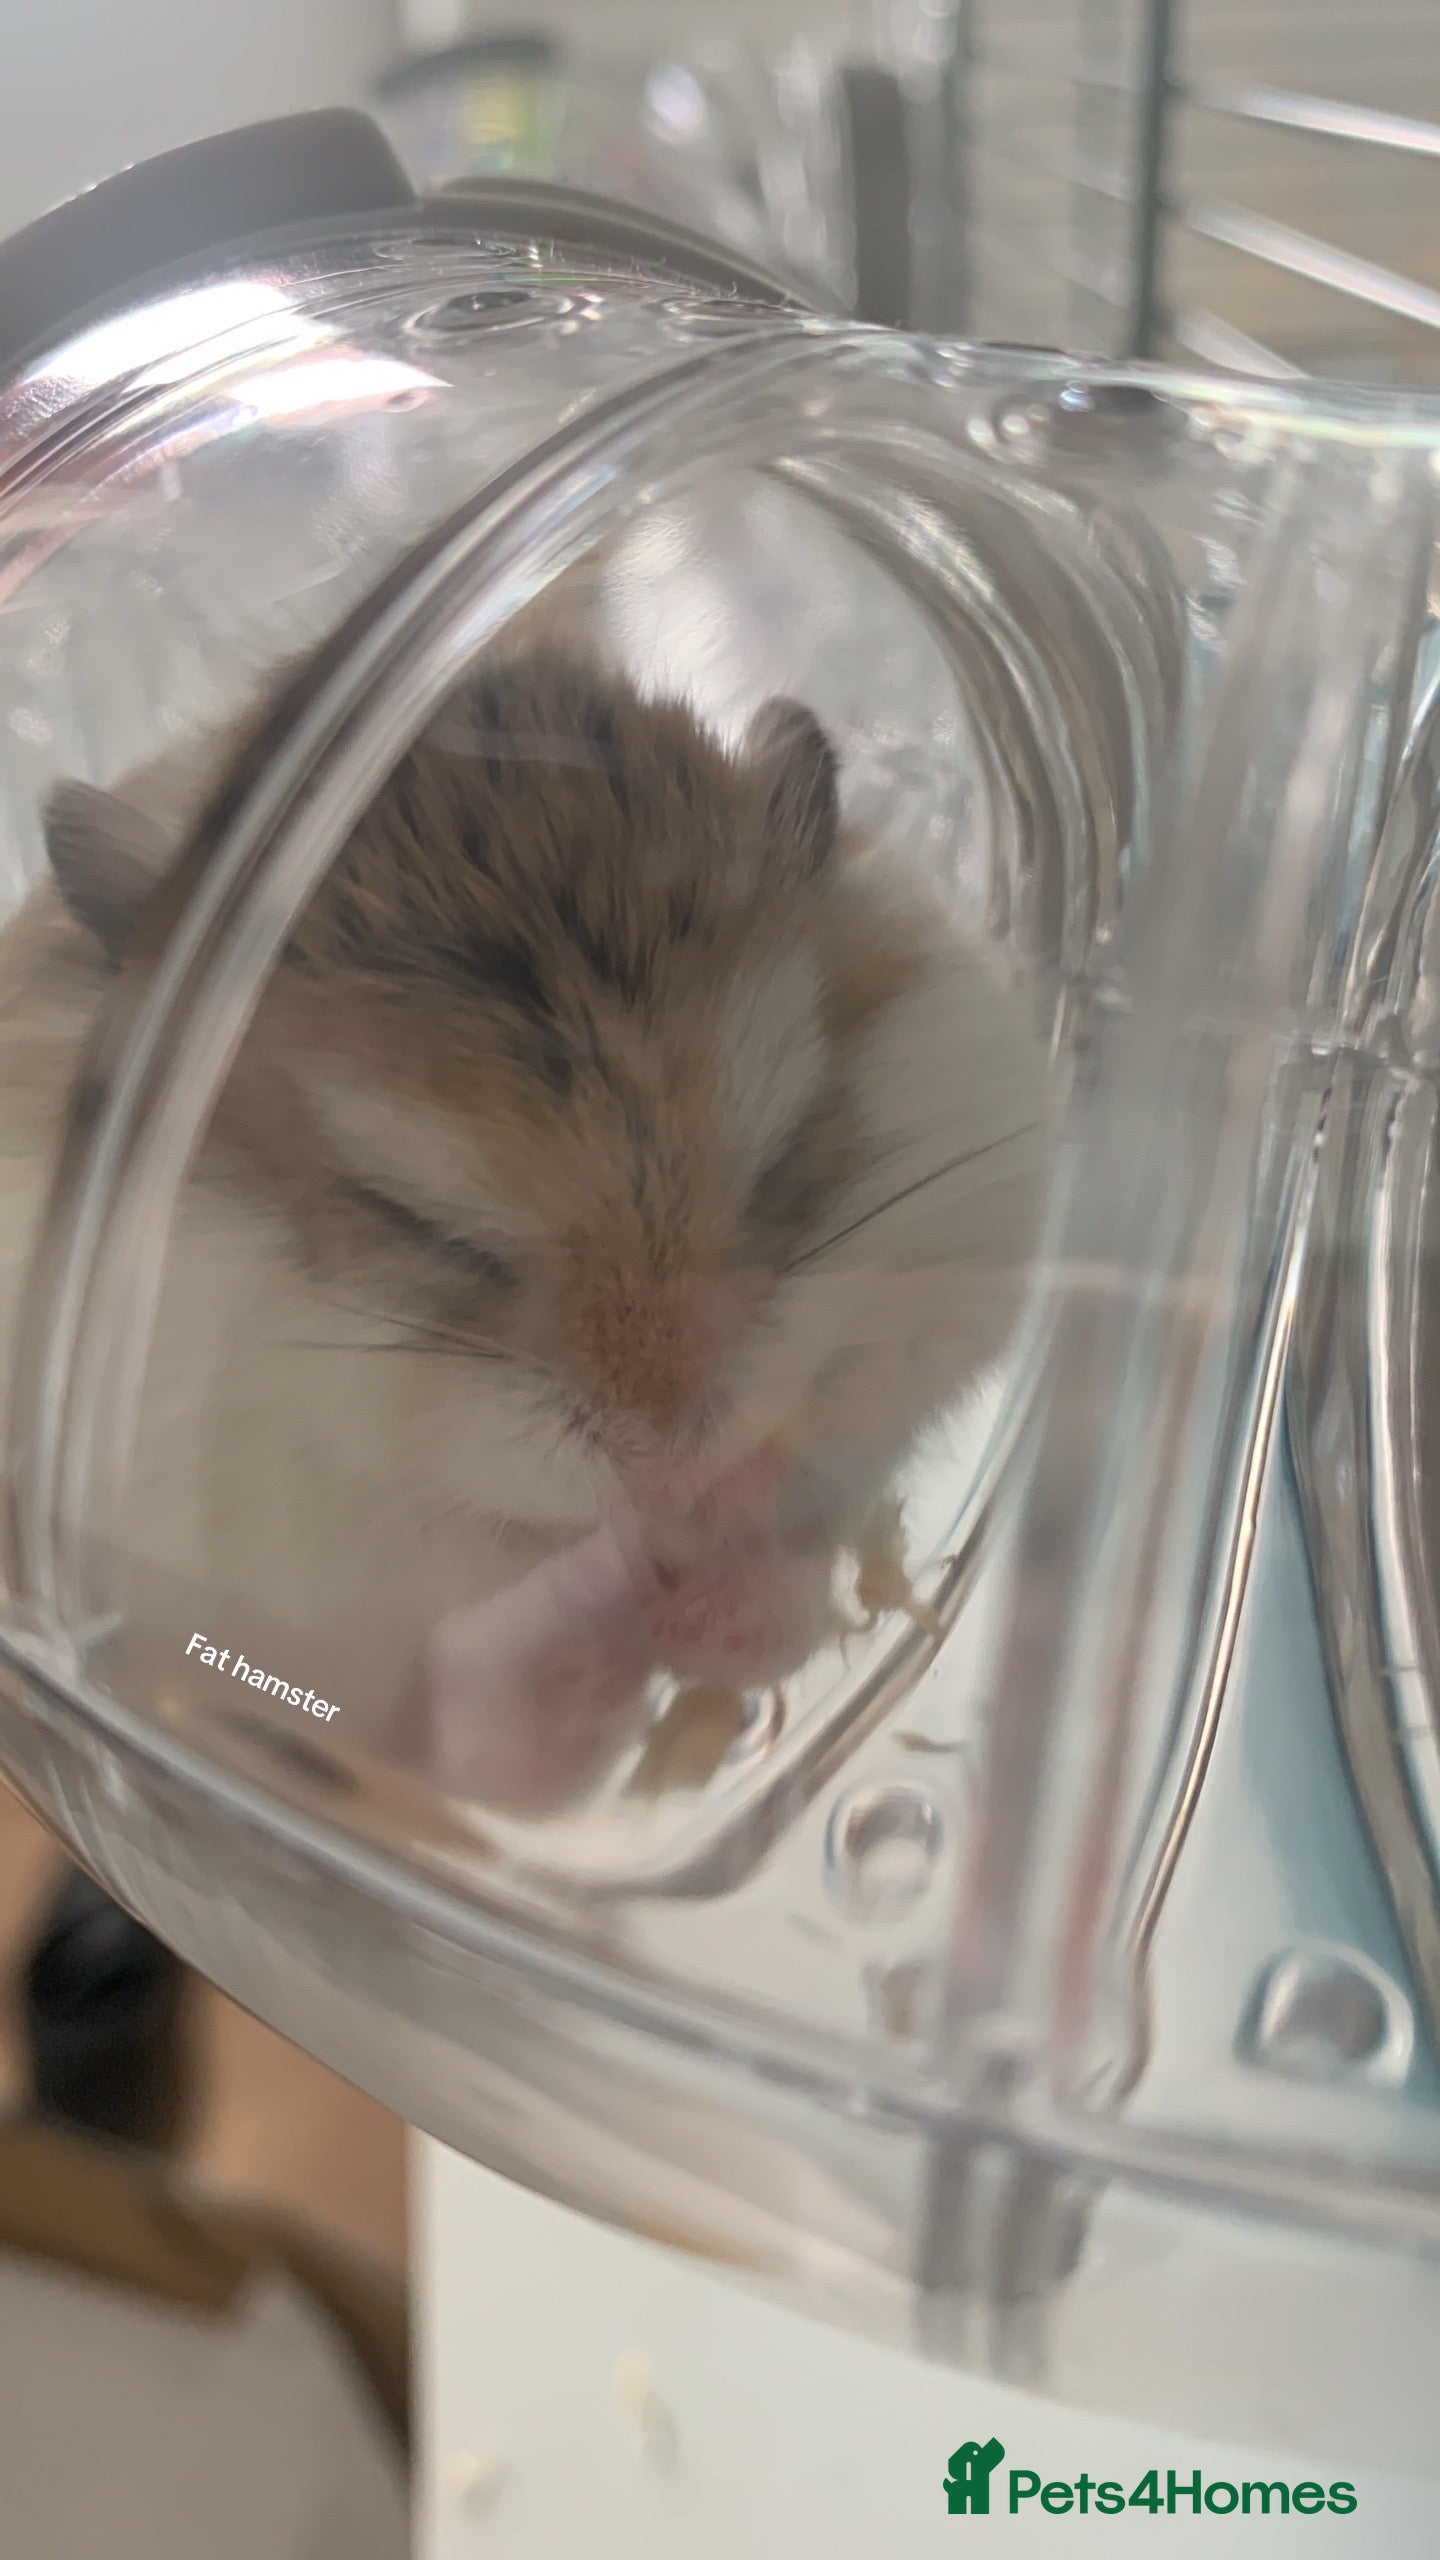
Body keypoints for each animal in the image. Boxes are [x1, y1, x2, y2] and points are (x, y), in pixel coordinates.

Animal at [0, 636, 1055, 1812]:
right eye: (410, 1221)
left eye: (783, 1153)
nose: (668, 1460)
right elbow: (446, 1546)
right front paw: (632, 1539)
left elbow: (840, 1417)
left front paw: (720, 1508)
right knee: (467, 1746)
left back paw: (703, 1612)